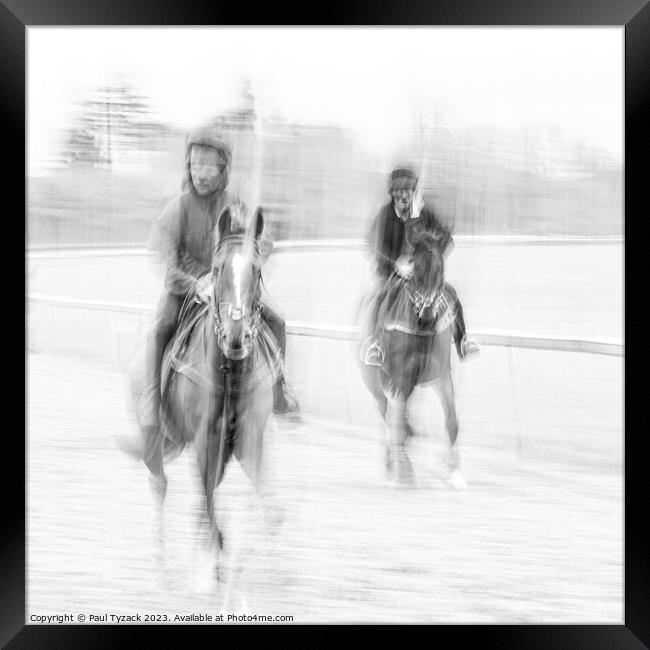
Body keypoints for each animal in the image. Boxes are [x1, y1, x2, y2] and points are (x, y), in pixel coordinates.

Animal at [128, 204, 280, 576]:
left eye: (257, 271)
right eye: (217, 268)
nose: (237, 334)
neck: (231, 376)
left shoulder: (249, 440)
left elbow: (270, 509)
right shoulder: (204, 441)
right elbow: (210, 513)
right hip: (153, 433)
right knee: (160, 484)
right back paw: (161, 561)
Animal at [356, 232, 464, 486]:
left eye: (440, 270)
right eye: (415, 271)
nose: (427, 316)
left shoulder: (440, 375)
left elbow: (452, 421)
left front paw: (455, 473)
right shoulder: (399, 378)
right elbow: (399, 426)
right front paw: (405, 471)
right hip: (376, 383)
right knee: (386, 415)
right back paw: (390, 460)